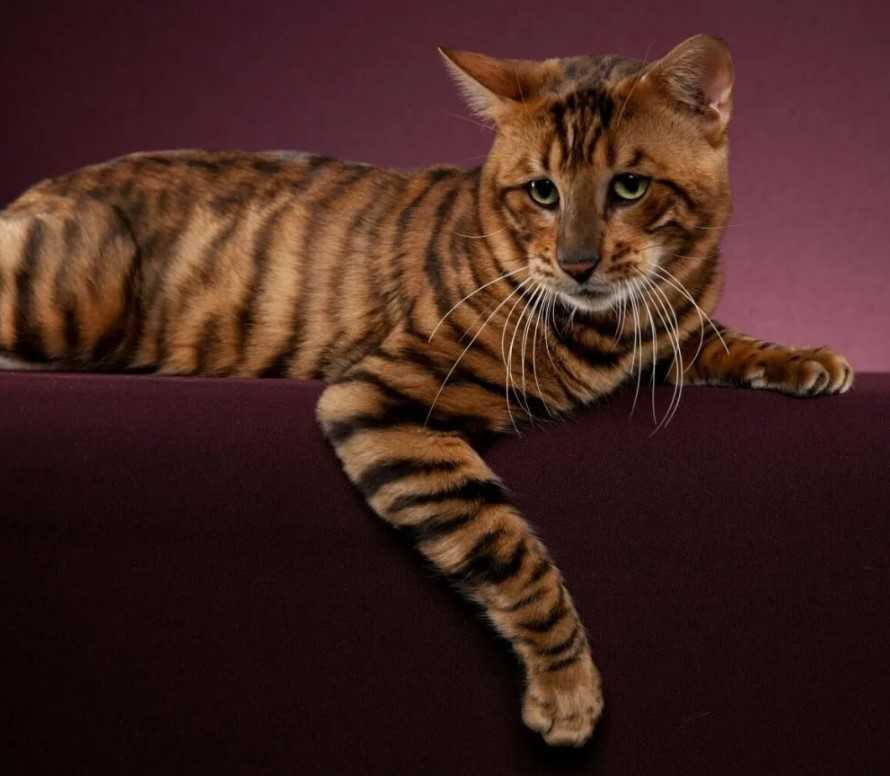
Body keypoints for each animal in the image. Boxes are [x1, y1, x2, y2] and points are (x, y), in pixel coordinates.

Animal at [0, 34, 853, 746]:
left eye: (631, 187)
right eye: (542, 192)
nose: (577, 263)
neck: (611, 330)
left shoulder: (673, 326)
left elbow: (720, 338)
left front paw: (804, 358)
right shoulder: (380, 399)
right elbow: (509, 552)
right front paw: (567, 688)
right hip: (77, 301)